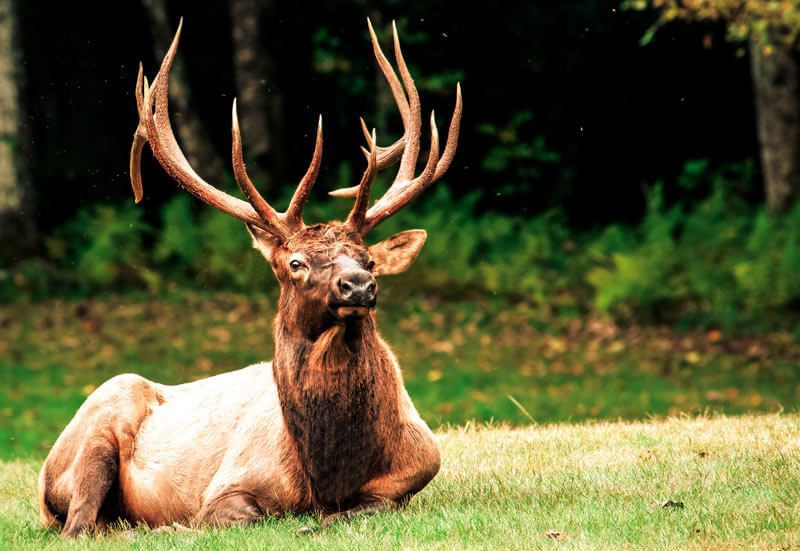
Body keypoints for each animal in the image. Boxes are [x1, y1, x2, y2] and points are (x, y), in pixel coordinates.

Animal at [38, 18, 461, 538]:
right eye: (295, 263)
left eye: (368, 259)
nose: (359, 286)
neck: (327, 478)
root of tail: (41, 482)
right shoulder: (228, 486)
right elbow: (250, 515)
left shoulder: (417, 470)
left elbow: (366, 507)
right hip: (101, 416)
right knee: (80, 524)